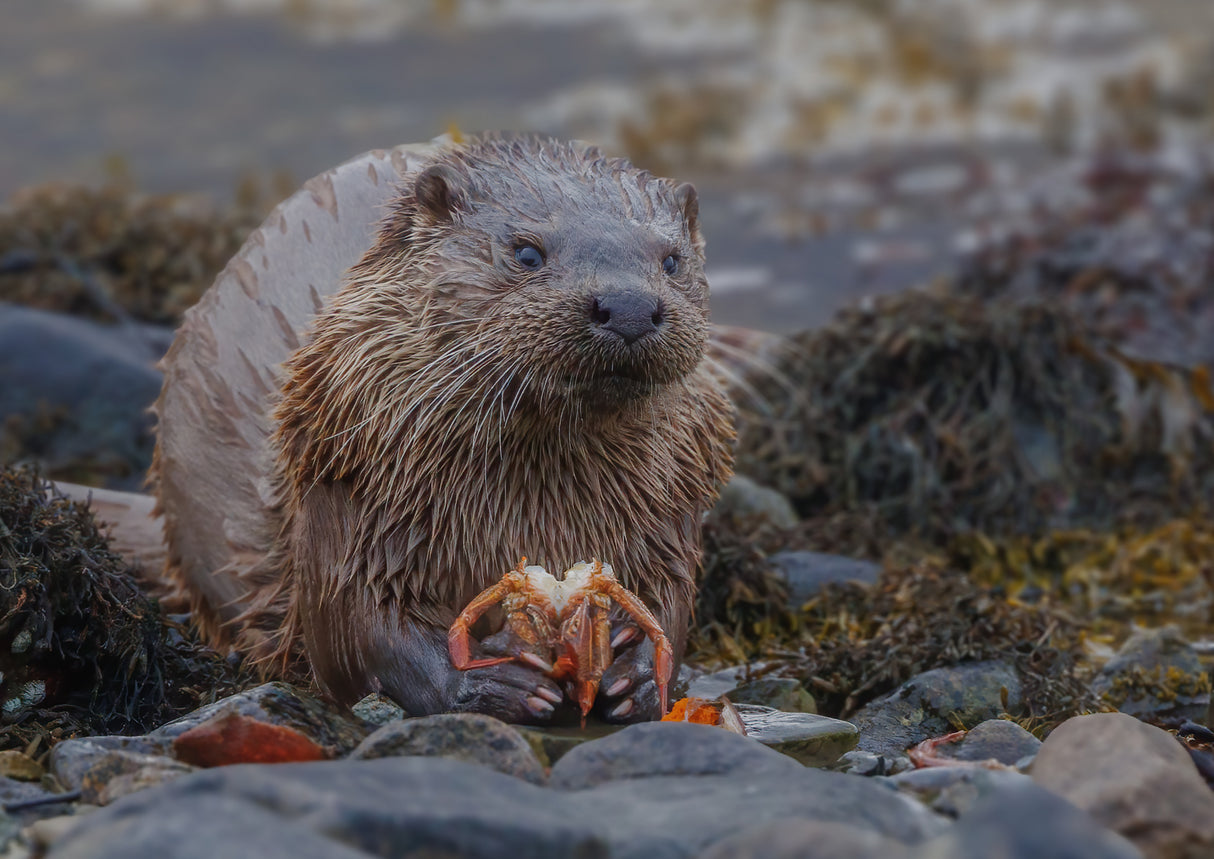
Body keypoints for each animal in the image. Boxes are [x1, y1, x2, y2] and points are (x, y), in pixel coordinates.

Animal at [151, 136, 734, 723]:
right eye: (527, 253)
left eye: (672, 261)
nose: (629, 306)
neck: (533, 512)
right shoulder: (350, 498)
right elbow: (358, 629)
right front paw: (489, 684)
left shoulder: (671, 511)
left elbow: (668, 606)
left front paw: (636, 676)